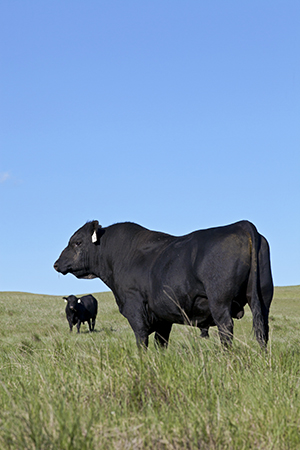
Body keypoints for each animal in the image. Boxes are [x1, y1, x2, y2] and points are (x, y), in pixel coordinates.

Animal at [52, 220, 274, 350]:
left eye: (78, 242)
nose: (56, 263)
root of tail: (241, 225)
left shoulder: (135, 308)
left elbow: (141, 341)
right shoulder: (163, 316)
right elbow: (161, 344)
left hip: (220, 301)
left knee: (226, 330)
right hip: (263, 298)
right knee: (262, 329)